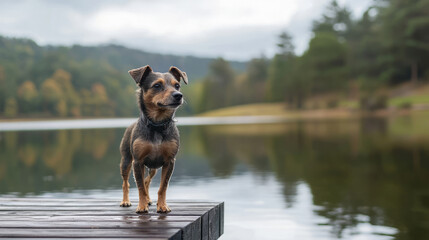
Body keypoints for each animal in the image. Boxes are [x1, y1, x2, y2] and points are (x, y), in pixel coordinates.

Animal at [119, 64, 188, 213]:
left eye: (177, 85)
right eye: (157, 85)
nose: (178, 95)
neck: (157, 125)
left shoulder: (169, 162)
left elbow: (162, 187)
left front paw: (162, 205)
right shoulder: (138, 162)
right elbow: (139, 187)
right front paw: (142, 206)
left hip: (153, 168)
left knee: (147, 181)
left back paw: (149, 199)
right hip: (126, 162)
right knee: (126, 183)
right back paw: (126, 201)